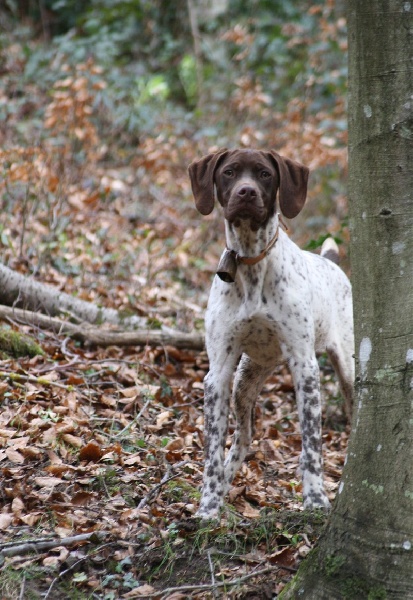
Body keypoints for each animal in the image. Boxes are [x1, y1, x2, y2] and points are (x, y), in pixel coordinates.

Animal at [188, 148, 352, 516]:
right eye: (229, 172)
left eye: (264, 174)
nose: (245, 193)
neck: (251, 262)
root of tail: (331, 263)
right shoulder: (218, 373)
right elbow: (212, 450)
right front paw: (208, 506)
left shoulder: (305, 366)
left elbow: (311, 445)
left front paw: (315, 500)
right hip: (244, 379)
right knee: (243, 436)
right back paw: (225, 483)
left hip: (348, 368)